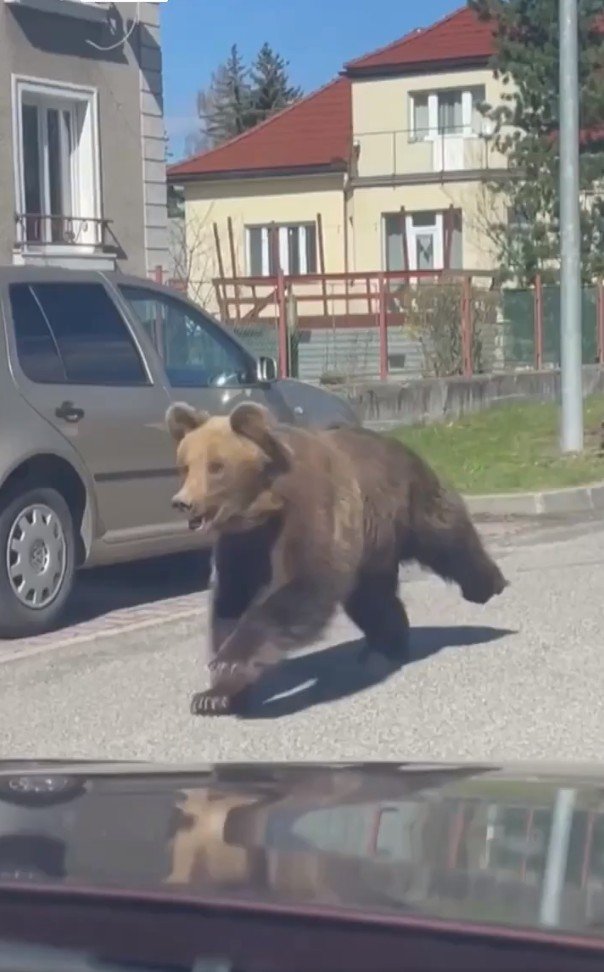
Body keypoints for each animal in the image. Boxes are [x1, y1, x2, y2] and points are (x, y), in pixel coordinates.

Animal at [168, 400, 508, 712]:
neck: (265, 506)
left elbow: (306, 582)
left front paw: (230, 662)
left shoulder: (310, 506)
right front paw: (215, 693)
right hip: (370, 548)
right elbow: (230, 600)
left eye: (216, 466)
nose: (183, 502)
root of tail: (398, 444)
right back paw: (385, 647)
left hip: (408, 503)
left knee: (447, 538)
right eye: (185, 466)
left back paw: (488, 585)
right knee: (372, 600)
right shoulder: (243, 542)